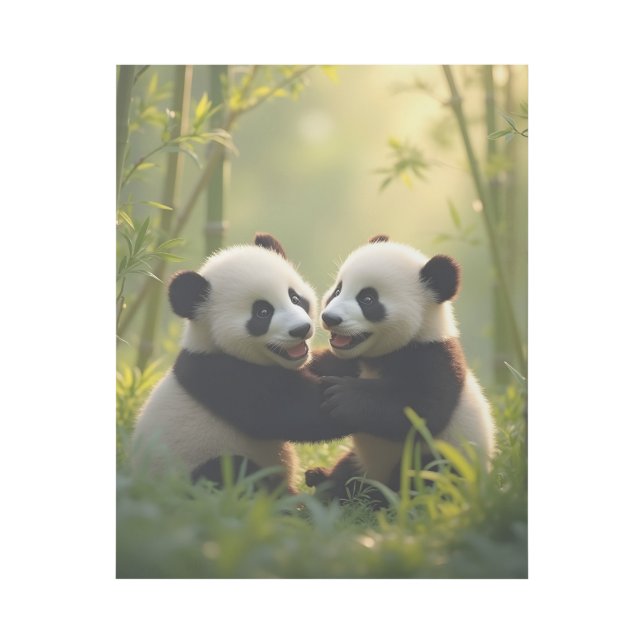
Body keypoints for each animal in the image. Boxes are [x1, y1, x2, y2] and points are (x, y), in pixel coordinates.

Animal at [132, 233, 363, 493]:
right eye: (262, 312)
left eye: (295, 298)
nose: (301, 329)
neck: (210, 343)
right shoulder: (222, 376)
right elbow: (301, 411)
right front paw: (353, 401)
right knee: (231, 475)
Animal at [305, 234, 496, 499]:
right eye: (338, 290)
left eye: (367, 299)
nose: (329, 318)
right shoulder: (352, 360)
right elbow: (327, 363)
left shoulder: (434, 358)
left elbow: (421, 411)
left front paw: (343, 397)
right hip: (359, 460)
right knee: (348, 469)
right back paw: (324, 479)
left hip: (450, 460)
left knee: (424, 473)